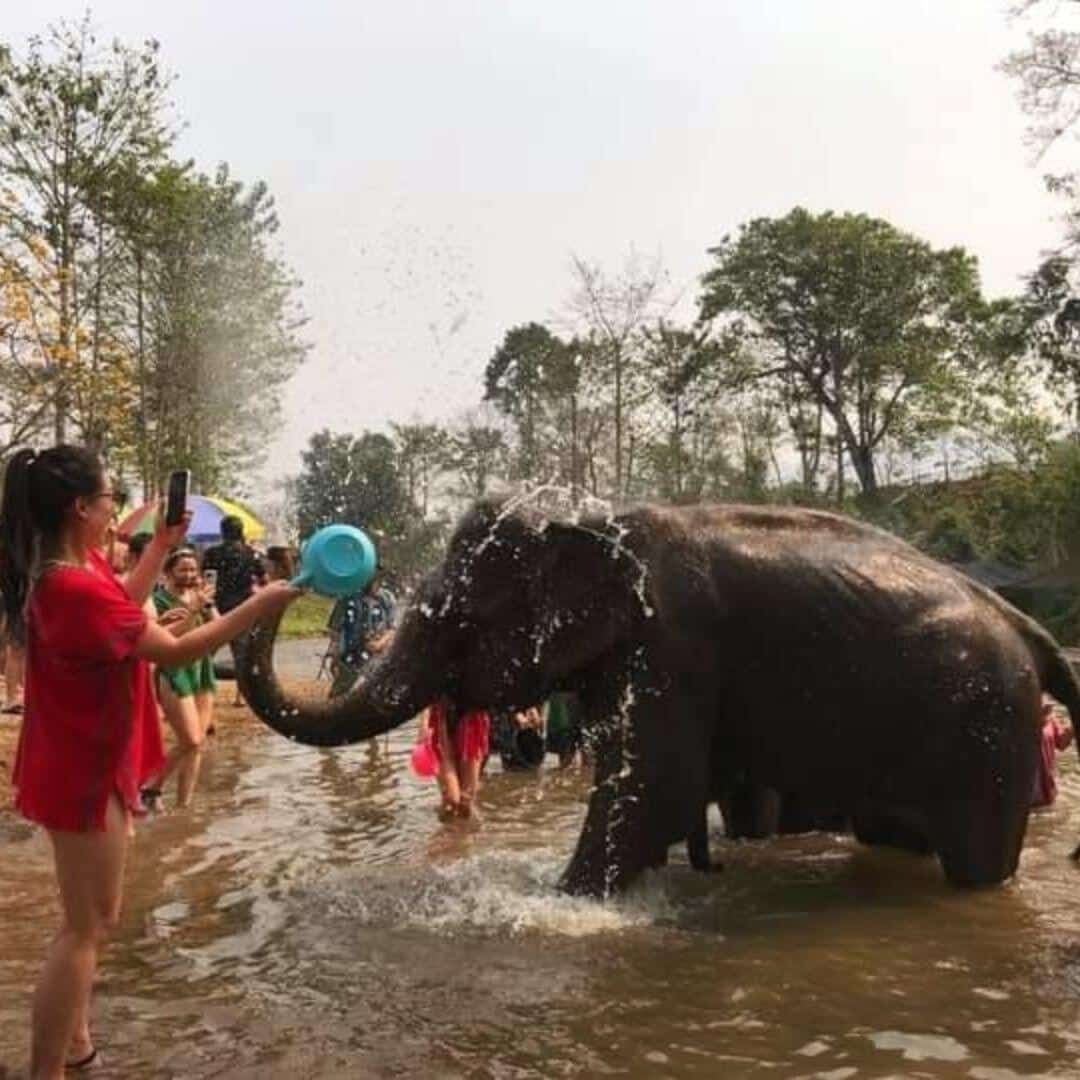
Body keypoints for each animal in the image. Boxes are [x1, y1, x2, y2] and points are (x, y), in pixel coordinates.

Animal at [237, 499, 1080, 899]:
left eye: (465, 623)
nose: (280, 563)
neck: (596, 517)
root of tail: (1030, 626)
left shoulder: (675, 645)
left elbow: (654, 793)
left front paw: (565, 904)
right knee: (894, 835)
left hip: (988, 726)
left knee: (975, 860)